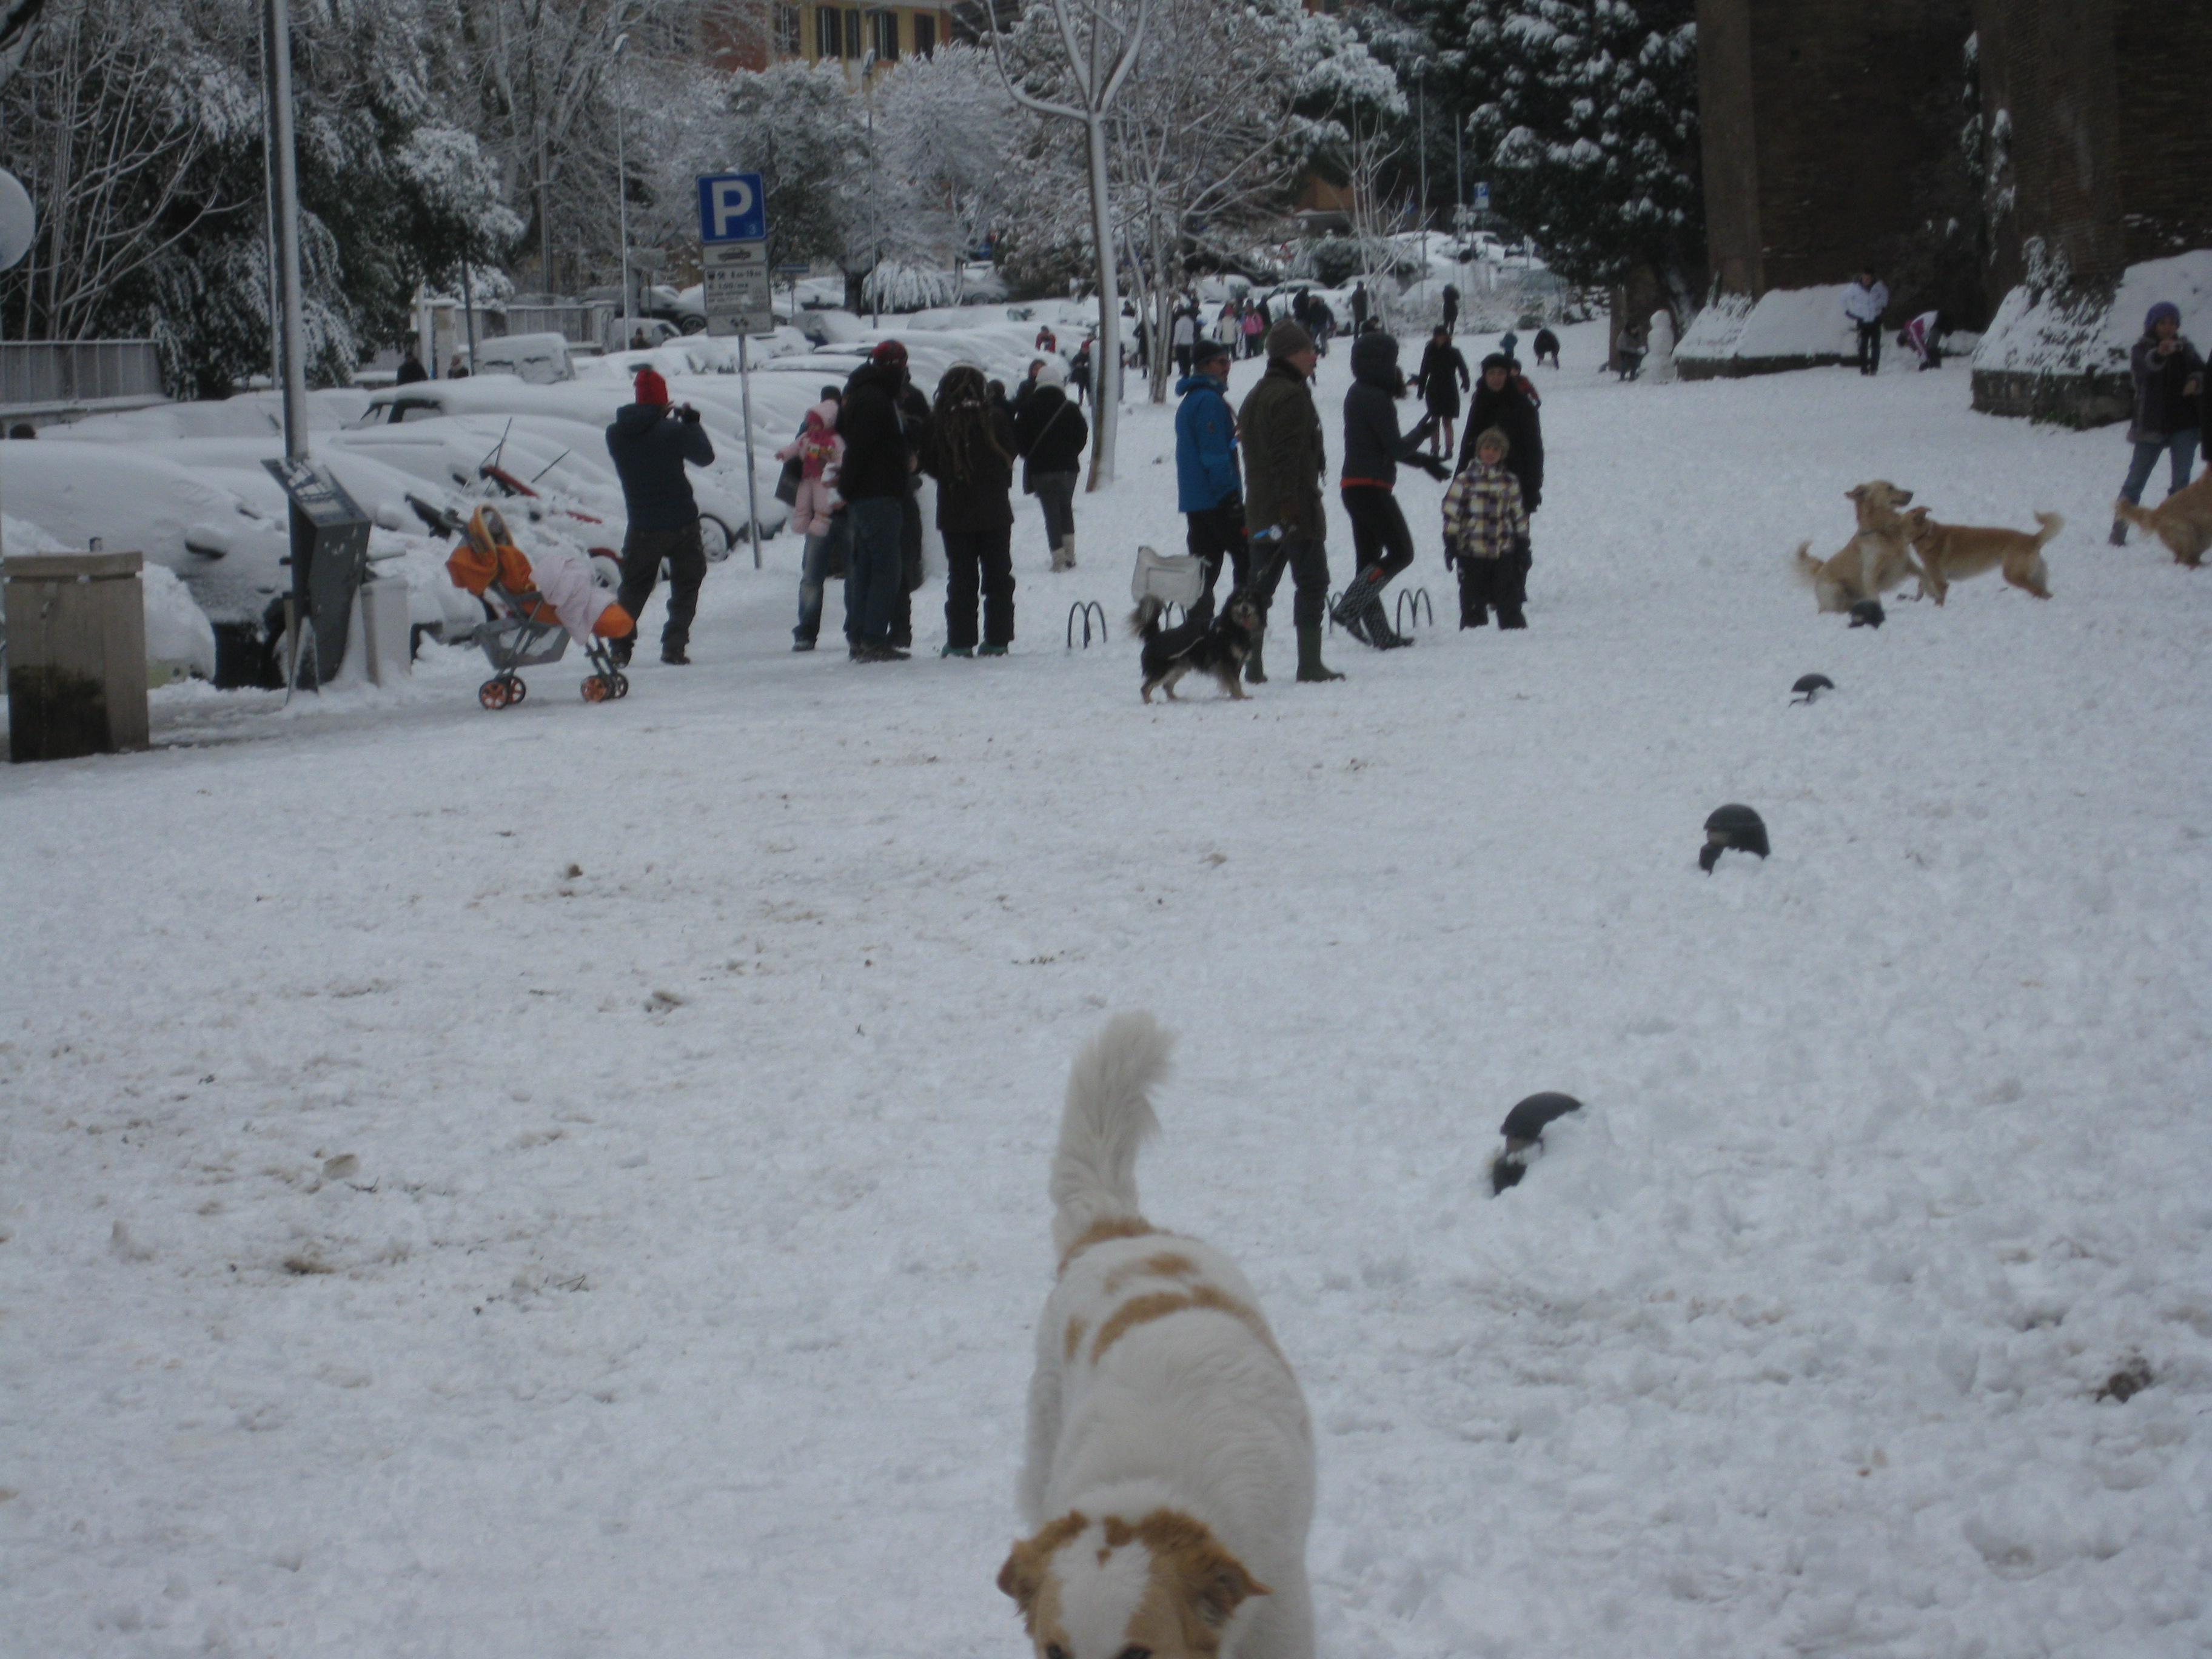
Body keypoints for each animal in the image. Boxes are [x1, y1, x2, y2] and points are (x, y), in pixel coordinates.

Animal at [1141, 592, 1265, 703]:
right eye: (1238, 601)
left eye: (1250, 600)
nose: (1245, 608)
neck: (1233, 627)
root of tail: (1155, 637)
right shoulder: (1228, 662)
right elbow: (1235, 683)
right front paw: (1240, 697)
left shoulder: (1236, 663)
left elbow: (1234, 683)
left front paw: (1237, 696)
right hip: (1163, 670)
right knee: (1146, 687)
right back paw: (1149, 702)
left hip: (1179, 667)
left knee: (1167, 686)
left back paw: (1177, 699)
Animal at [1787, 480, 1929, 619]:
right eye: (1890, 488)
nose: (1911, 493)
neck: (1882, 530)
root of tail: (1820, 571)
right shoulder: (1870, 574)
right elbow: (1876, 598)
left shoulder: (1906, 563)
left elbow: (1923, 574)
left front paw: (1923, 592)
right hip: (1835, 590)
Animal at [1893, 513, 2061, 610]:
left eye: (1899, 525)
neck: (1925, 535)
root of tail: (2033, 539)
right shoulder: (1931, 572)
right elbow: (1922, 585)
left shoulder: (1939, 578)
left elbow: (1938, 596)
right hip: (2035, 575)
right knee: (2046, 593)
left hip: (2013, 576)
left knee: (2037, 591)